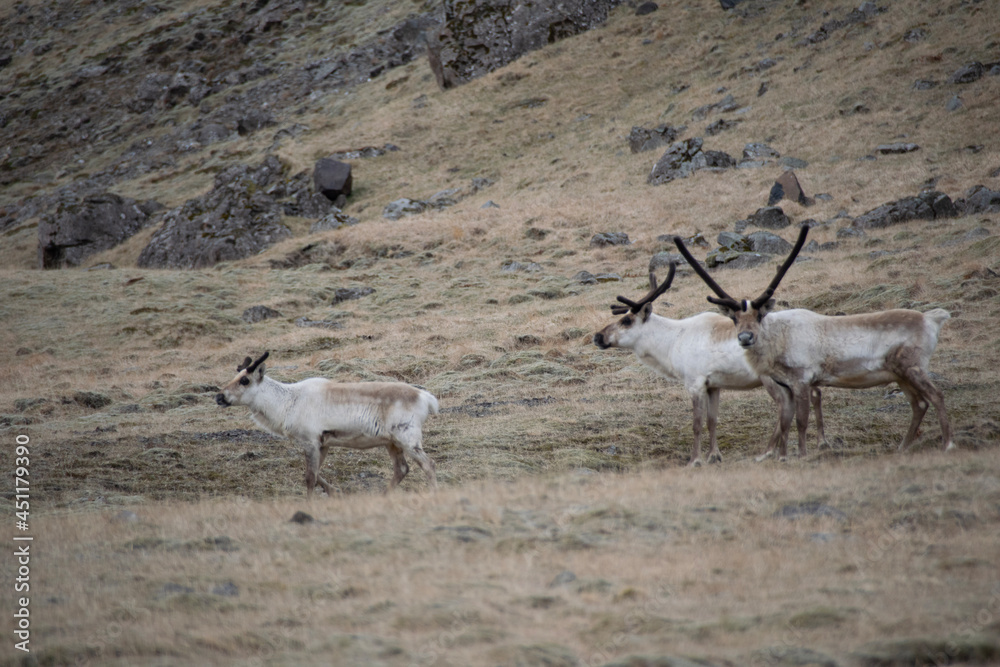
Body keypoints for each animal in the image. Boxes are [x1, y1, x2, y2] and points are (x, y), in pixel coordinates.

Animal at [216, 352, 438, 496]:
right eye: (235, 376)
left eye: (245, 380)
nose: (219, 396)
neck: (287, 401)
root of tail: (426, 398)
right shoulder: (322, 444)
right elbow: (315, 474)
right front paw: (335, 491)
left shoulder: (310, 441)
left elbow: (310, 477)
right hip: (392, 442)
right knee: (402, 469)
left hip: (407, 438)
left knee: (428, 464)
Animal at [593, 261, 824, 466]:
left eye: (626, 321)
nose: (597, 336)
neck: (670, 343)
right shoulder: (714, 384)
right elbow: (712, 420)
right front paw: (714, 456)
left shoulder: (694, 382)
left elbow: (697, 424)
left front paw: (695, 460)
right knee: (814, 394)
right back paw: (821, 442)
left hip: (772, 377)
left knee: (785, 404)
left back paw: (769, 451)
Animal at [674, 225, 954, 460]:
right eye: (733, 318)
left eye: (760, 314)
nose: (745, 337)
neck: (778, 340)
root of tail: (932, 318)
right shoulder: (785, 384)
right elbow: (785, 420)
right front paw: (782, 457)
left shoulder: (802, 379)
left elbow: (800, 421)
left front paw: (802, 454)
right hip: (899, 374)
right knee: (919, 404)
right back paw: (902, 447)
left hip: (913, 367)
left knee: (937, 395)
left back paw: (948, 444)